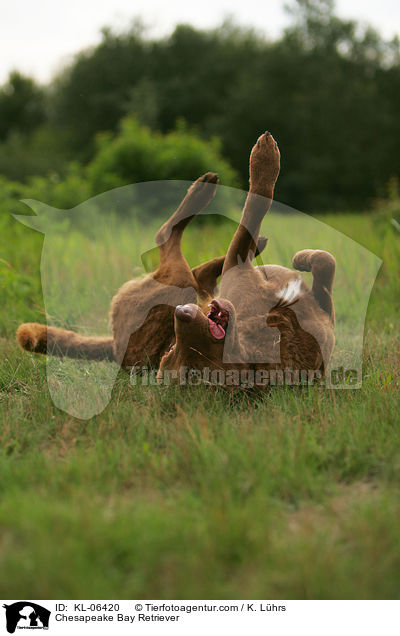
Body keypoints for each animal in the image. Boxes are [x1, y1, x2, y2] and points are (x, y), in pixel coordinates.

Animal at [17, 132, 334, 386]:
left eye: (174, 356)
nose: (181, 317)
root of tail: (116, 344)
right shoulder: (242, 266)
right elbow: (260, 209)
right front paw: (265, 158)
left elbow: (264, 214)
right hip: (182, 282)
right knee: (178, 248)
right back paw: (211, 195)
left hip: (177, 281)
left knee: (171, 243)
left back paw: (207, 194)